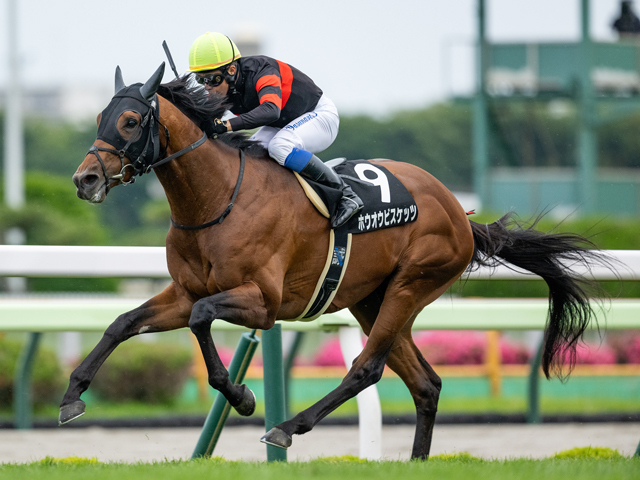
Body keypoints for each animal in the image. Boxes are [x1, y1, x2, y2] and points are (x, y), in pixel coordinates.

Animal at [65, 62, 608, 458]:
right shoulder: (184, 292)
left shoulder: (262, 302)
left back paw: (287, 427)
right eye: (99, 119)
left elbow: (202, 322)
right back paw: (416, 462)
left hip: (412, 283)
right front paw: (73, 395)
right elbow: (123, 323)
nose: (84, 180)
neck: (216, 200)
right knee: (425, 383)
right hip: (371, 298)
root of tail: (459, 212)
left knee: (367, 369)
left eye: (131, 121)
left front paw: (244, 397)